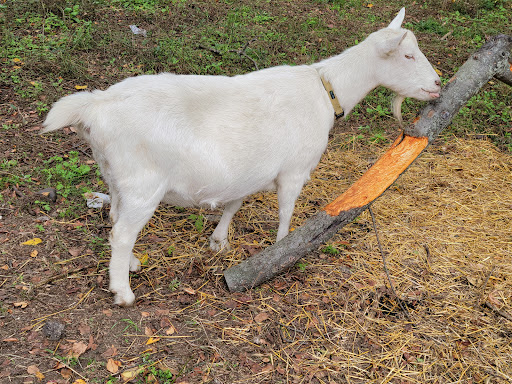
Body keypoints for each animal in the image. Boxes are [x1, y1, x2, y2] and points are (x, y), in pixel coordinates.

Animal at [44, 8, 440, 306]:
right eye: (407, 55)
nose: (437, 84)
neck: (326, 91)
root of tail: (94, 106)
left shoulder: (251, 170)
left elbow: (235, 203)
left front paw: (219, 241)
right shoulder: (294, 171)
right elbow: (285, 214)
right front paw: (278, 254)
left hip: (115, 176)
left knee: (114, 221)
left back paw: (131, 265)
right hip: (143, 184)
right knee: (123, 233)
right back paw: (123, 292)